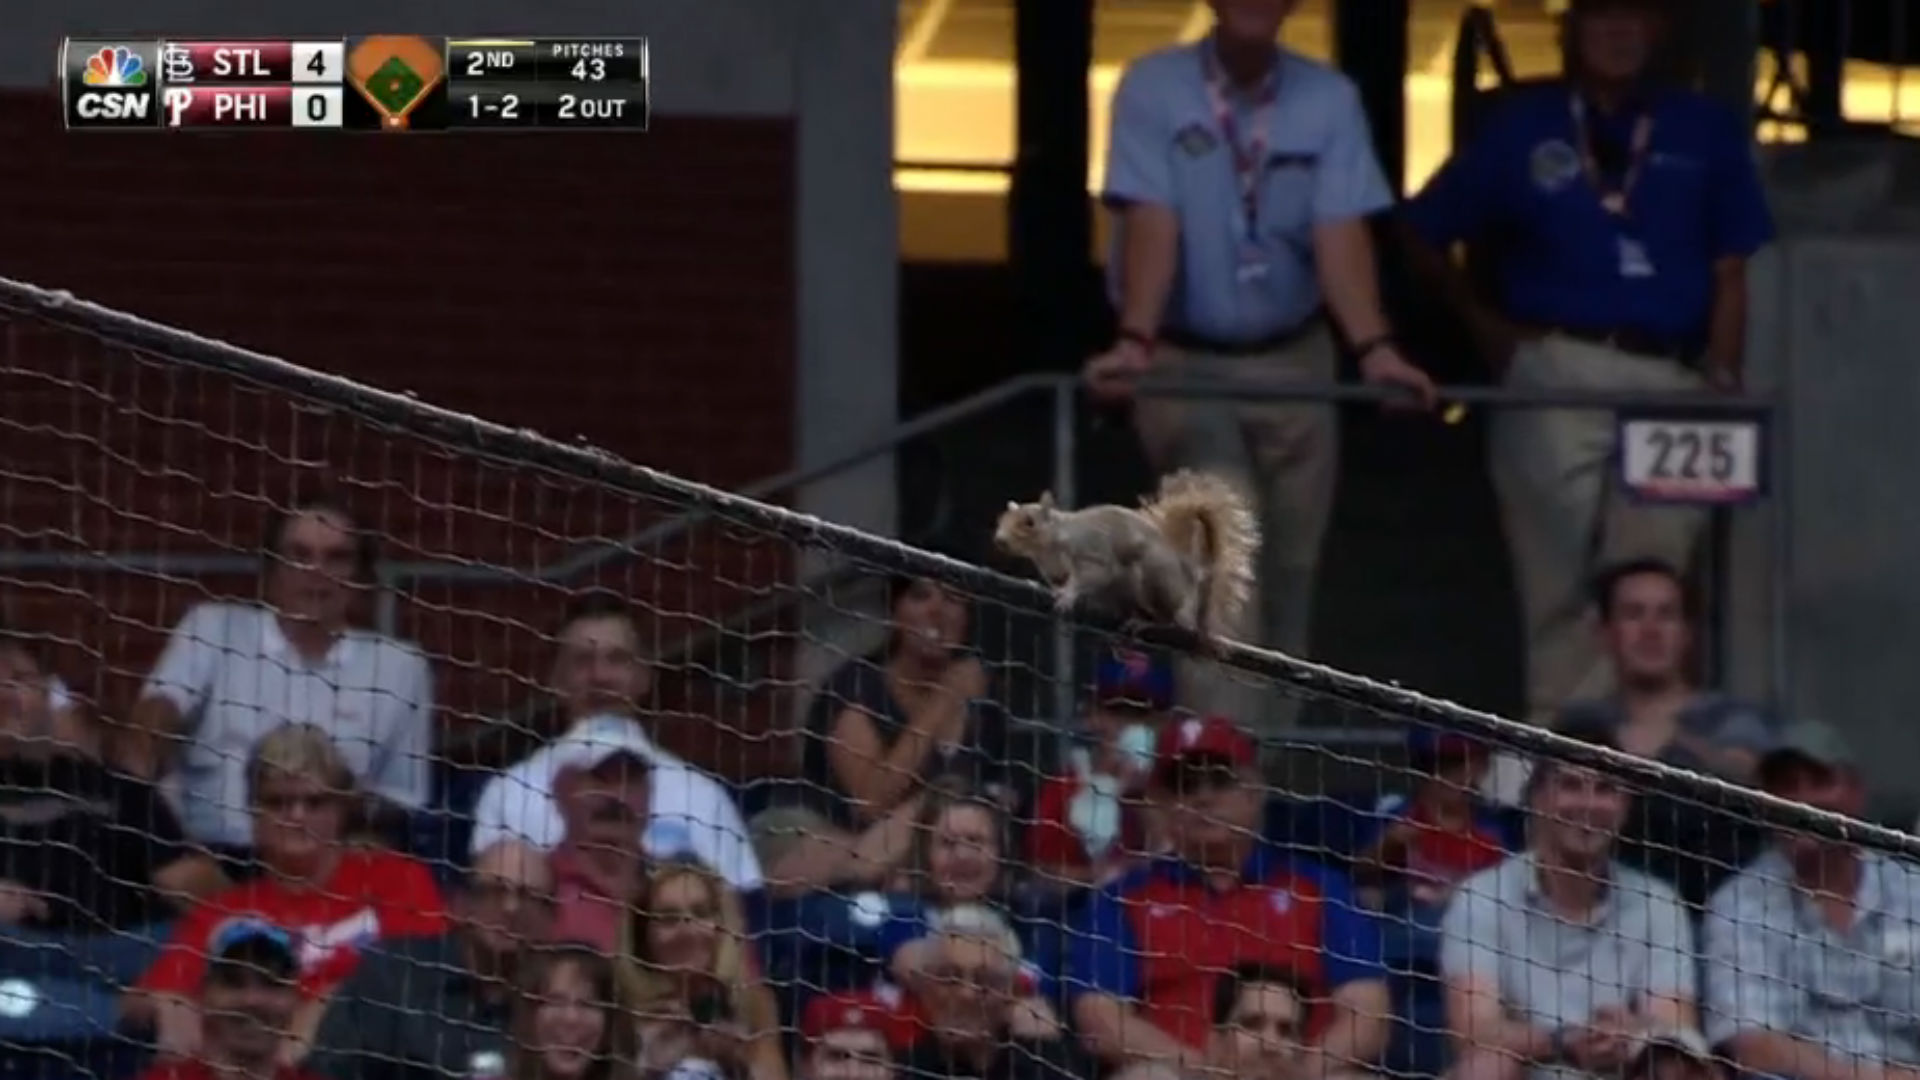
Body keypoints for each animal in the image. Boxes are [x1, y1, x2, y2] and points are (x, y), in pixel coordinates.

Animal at [993, 469, 1261, 642]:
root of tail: (1187, 576)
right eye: (1001, 520)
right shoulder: (1053, 569)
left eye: (1029, 522)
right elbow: (1059, 581)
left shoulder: (1092, 551)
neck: (1050, 545)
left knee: (1168, 618)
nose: (1000, 541)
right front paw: (1055, 590)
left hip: (1153, 582)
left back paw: (1146, 622)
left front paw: (1068, 596)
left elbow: (1094, 574)